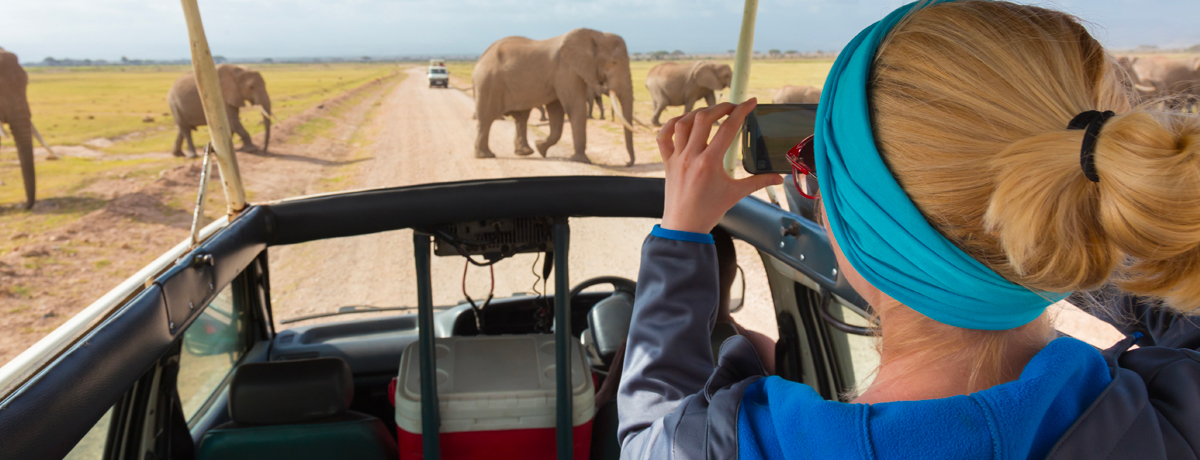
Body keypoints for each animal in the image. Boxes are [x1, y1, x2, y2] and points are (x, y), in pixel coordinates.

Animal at [470, 28, 638, 165]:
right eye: (614, 62)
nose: (627, 163)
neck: (596, 35)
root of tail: (481, 59)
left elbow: (556, 111)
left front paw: (540, 148)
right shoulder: (566, 70)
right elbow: (575, 107)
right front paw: (582, 161)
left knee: (521, 118)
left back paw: (525, 152)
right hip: (489, 83)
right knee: (486, 118)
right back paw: (486, 156)